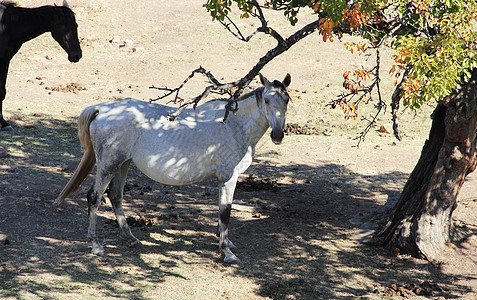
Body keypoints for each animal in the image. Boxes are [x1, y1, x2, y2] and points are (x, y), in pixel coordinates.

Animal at [0, 0, 81, 130]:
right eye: (67, 28)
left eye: (76, 26)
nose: (77, 55)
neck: (8, 25)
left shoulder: (5, 61)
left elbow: (2, 92)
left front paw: (4, 123)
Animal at [55, 74, 290, 264]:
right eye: (267, 100)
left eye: (286, 100)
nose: (278, 135)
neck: (233, 125)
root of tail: (102, 109)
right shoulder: (228, 178)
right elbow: (225, 213)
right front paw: (227, 253)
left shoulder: (223, 179)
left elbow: (223, 211)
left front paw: (226, 243)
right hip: (108, 165)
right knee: (94, 197)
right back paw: (96, 245)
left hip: (123, 164)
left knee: (115, 196)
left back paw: (131, 238)